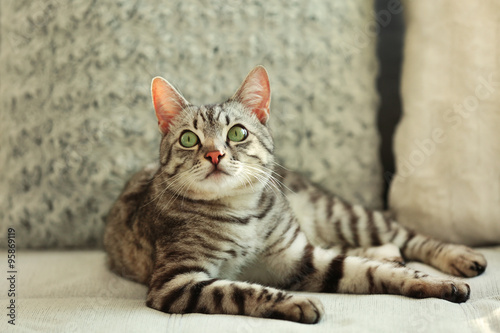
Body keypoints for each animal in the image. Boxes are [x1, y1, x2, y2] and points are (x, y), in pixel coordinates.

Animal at [103, 65, 486, 322]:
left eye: (237, 133)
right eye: (188, 139)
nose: (214, 154)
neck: (241, 212)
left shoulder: (297, 257)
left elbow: (373, 272)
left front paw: (441, 283)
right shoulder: (176, 281)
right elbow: (237, 289)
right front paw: (295, 302)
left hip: (344, 215)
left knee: (407, 236)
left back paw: (459, 256)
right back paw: (388, 254)